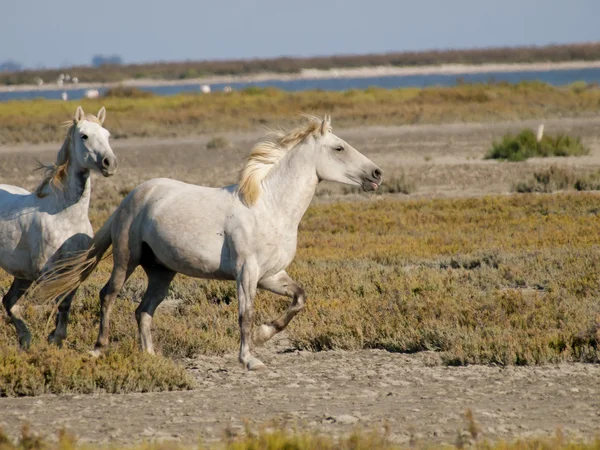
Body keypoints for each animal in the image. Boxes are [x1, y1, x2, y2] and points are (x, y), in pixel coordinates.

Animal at [0, 105, 116, 348]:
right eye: (84, 136)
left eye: (107, 135)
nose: (109, 163)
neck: (64, 215)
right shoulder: (48, 273)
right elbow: (59, 300)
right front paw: (55, 337)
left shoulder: (73, 269)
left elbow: (66, 302)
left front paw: (56, 337)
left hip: (22, 275)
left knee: (8, 301)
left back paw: (25, 339)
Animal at [35, 115, 382, 370]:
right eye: (339, 148)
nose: (377, 174)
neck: (269, 207)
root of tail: (132, 197)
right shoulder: (247, 273)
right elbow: (245, 314)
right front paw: (249, 359)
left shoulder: (271, 275)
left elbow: (299, 298)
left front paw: (264, 335)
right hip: (126, 259)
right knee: (108, 296)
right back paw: (98, 350)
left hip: (161, 272)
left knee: (143, 310)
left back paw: (151, 356)